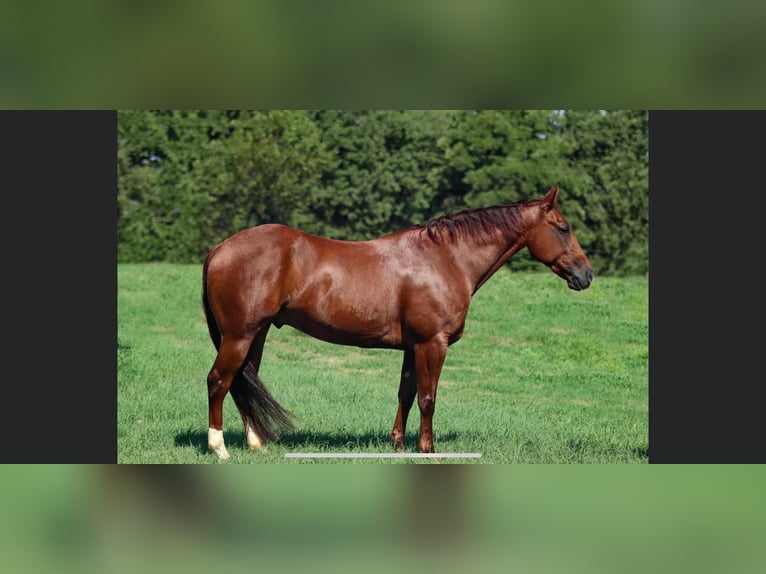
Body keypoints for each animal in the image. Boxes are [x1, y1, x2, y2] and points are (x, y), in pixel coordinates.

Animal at [201, 184, 592, 460]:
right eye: (563, 228)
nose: (586, 275)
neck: (446, 258)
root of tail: (219, 248)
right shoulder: (432, 343)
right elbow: (428, 397)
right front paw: (428, 449)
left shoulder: (412, 346)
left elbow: (406, 392)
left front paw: (399, 444)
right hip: (239, 335)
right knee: (219, 381)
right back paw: (219, 449)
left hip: (257, 333)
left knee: (243, 380)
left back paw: (256, 443)